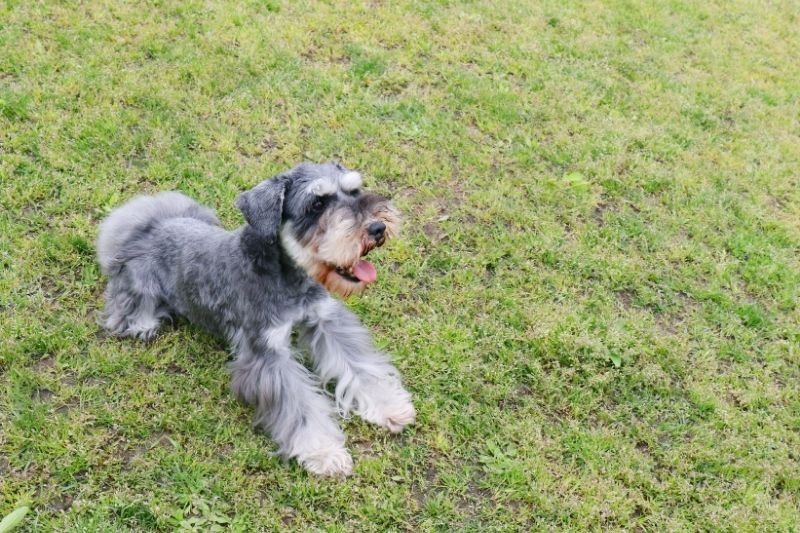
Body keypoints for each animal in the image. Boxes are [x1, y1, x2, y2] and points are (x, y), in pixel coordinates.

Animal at [97, 161, 416, 474]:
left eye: (354, 190)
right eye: (316, 204)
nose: (377, 227)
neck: (287, 276)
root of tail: (148, 227)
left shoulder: (326, 321)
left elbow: (360, 365)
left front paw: (389, 405)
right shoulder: (267, 354)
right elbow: (299, 405)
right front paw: (324, 451)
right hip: (140, 288)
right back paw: (142, 323)